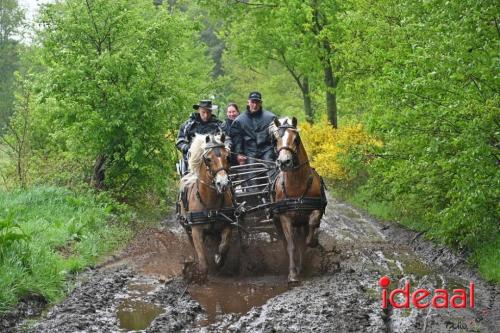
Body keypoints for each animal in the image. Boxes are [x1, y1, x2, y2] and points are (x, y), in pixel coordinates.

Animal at [178, 132, 234, 280]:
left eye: (227, 156)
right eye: (208, 159)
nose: (222, 183)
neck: (211, 205)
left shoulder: (227, 223)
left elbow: (224, 246)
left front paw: (218, 259)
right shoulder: (196, 230)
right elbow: (202, 260)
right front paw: (199, 276)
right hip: (187, 228)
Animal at [270, 115, 328, 282]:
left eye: (296, 139)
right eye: (275, 139)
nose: (284, 162)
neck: (297, 184)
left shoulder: (315, 209)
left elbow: (309, 231)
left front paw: (312, 242)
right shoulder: (284, 217)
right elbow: (291, 245)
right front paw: (292, 273)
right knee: (285, 241)